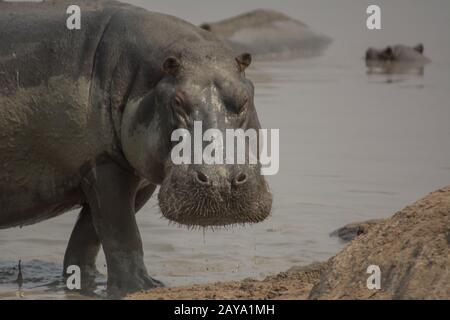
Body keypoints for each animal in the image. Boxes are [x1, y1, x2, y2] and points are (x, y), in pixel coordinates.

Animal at [0, 0, 270, 296]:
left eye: (244, 98)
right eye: (177, 102)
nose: (221, 181)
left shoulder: (138, 178)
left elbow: (88, 240)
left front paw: (90, 283)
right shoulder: (104, 165)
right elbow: (123, 235)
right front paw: (141, 287)